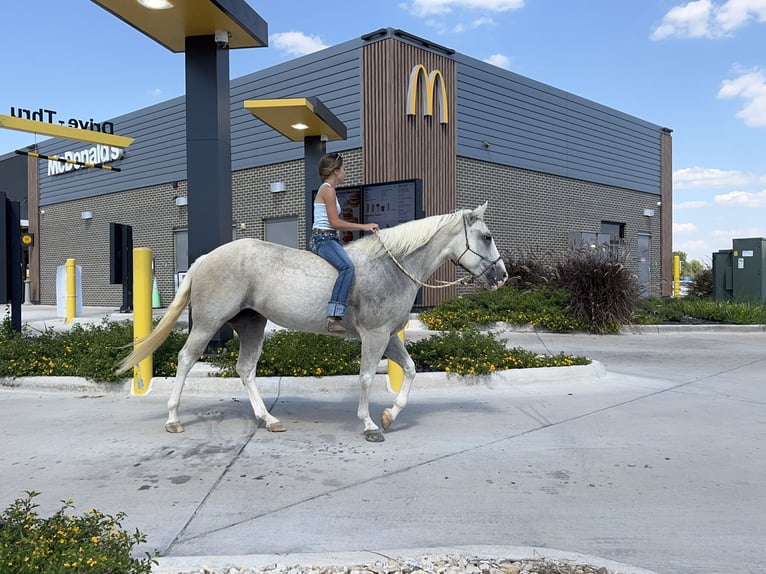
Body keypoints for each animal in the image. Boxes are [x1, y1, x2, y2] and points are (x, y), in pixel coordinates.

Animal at [118, 203, 507, 442]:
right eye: (487, 237)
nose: (502, 276)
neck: (392, 266)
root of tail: (204, 258)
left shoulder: (388, 336)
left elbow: (410, 371)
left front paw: (389, 416)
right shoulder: (375, 336)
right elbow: (367, 378)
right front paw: (370, 424)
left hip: (252, 325)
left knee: (245, 370)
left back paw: (268, 419)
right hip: (207, 323)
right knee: (185, 360)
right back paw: (173, 419)